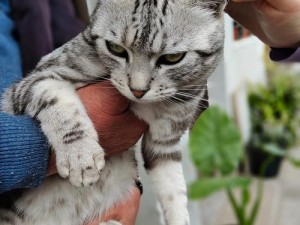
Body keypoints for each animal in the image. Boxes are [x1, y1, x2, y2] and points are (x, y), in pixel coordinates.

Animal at [0, 0, 225, 225]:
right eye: (115, 48)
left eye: (173, 57)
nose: (137, 90)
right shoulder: (34, 80)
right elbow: (56, 101)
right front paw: (80, 156)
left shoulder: (164, 142)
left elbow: (175, 191)